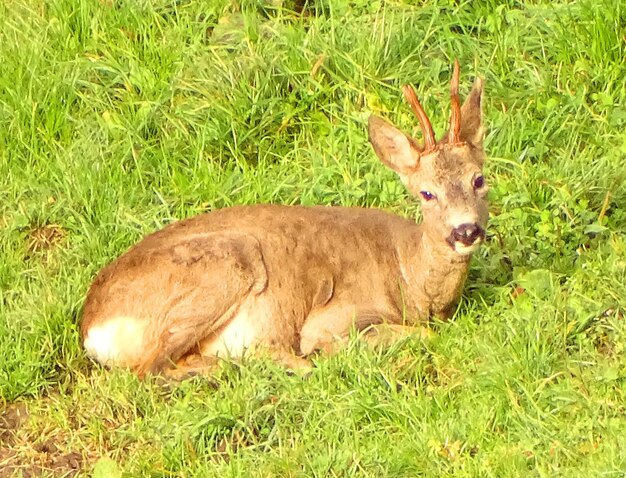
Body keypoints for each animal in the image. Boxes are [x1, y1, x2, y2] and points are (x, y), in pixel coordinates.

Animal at [79, 61, 488, 380]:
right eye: (427, 193)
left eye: (479, 179)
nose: (466, 230)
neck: (410, 277)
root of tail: (91, 326)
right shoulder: (334, 317)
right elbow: (418, 336)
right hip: (227, 261)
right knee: (149, 369)